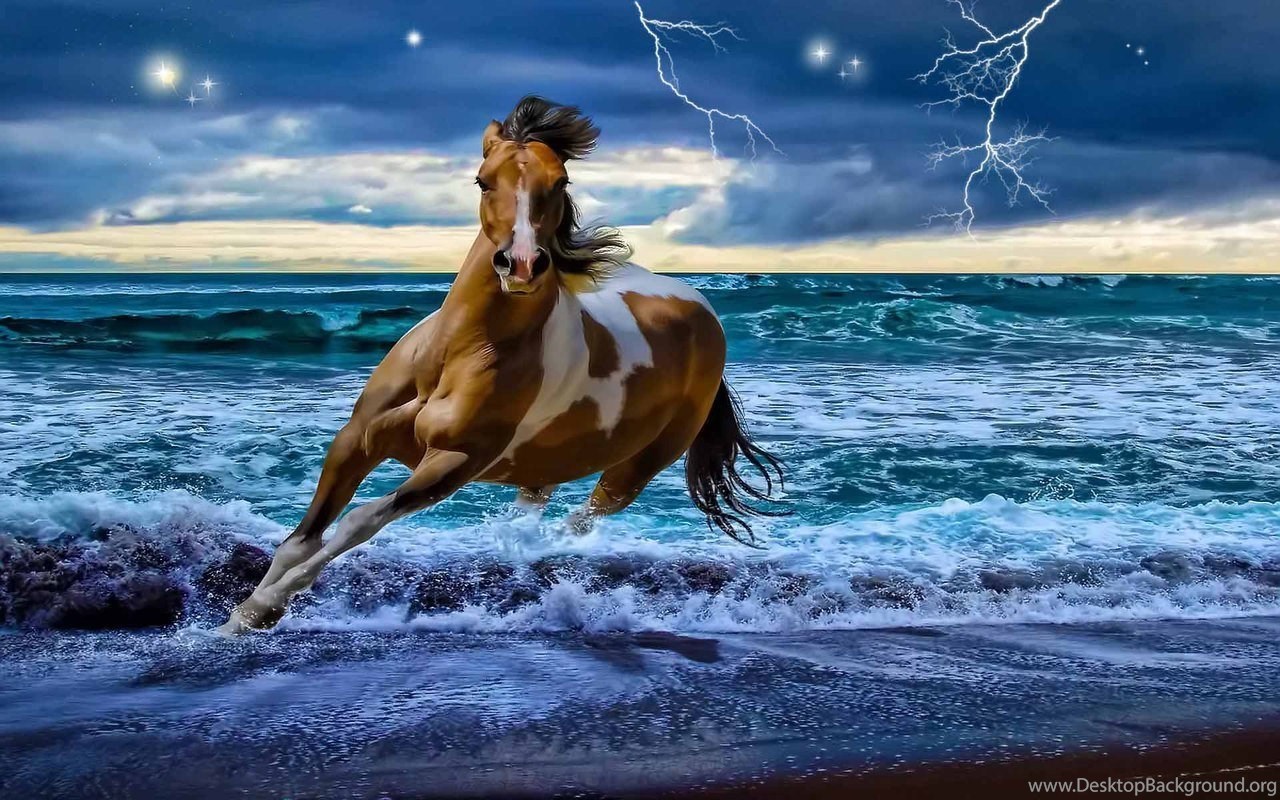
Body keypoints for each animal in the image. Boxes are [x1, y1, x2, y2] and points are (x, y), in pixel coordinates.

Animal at [220, 96, 784, 634]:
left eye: (560, 181)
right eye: (482, 180)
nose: (522, 264)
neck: (457, 354)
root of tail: (702, 311)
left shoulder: (454, 462)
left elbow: (359, 521)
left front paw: (260, 610)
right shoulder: (356, 440)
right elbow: (301, 539)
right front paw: (237, 619)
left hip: (637, 466)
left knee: (581, 520)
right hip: (547, 462)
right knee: (535, 506)